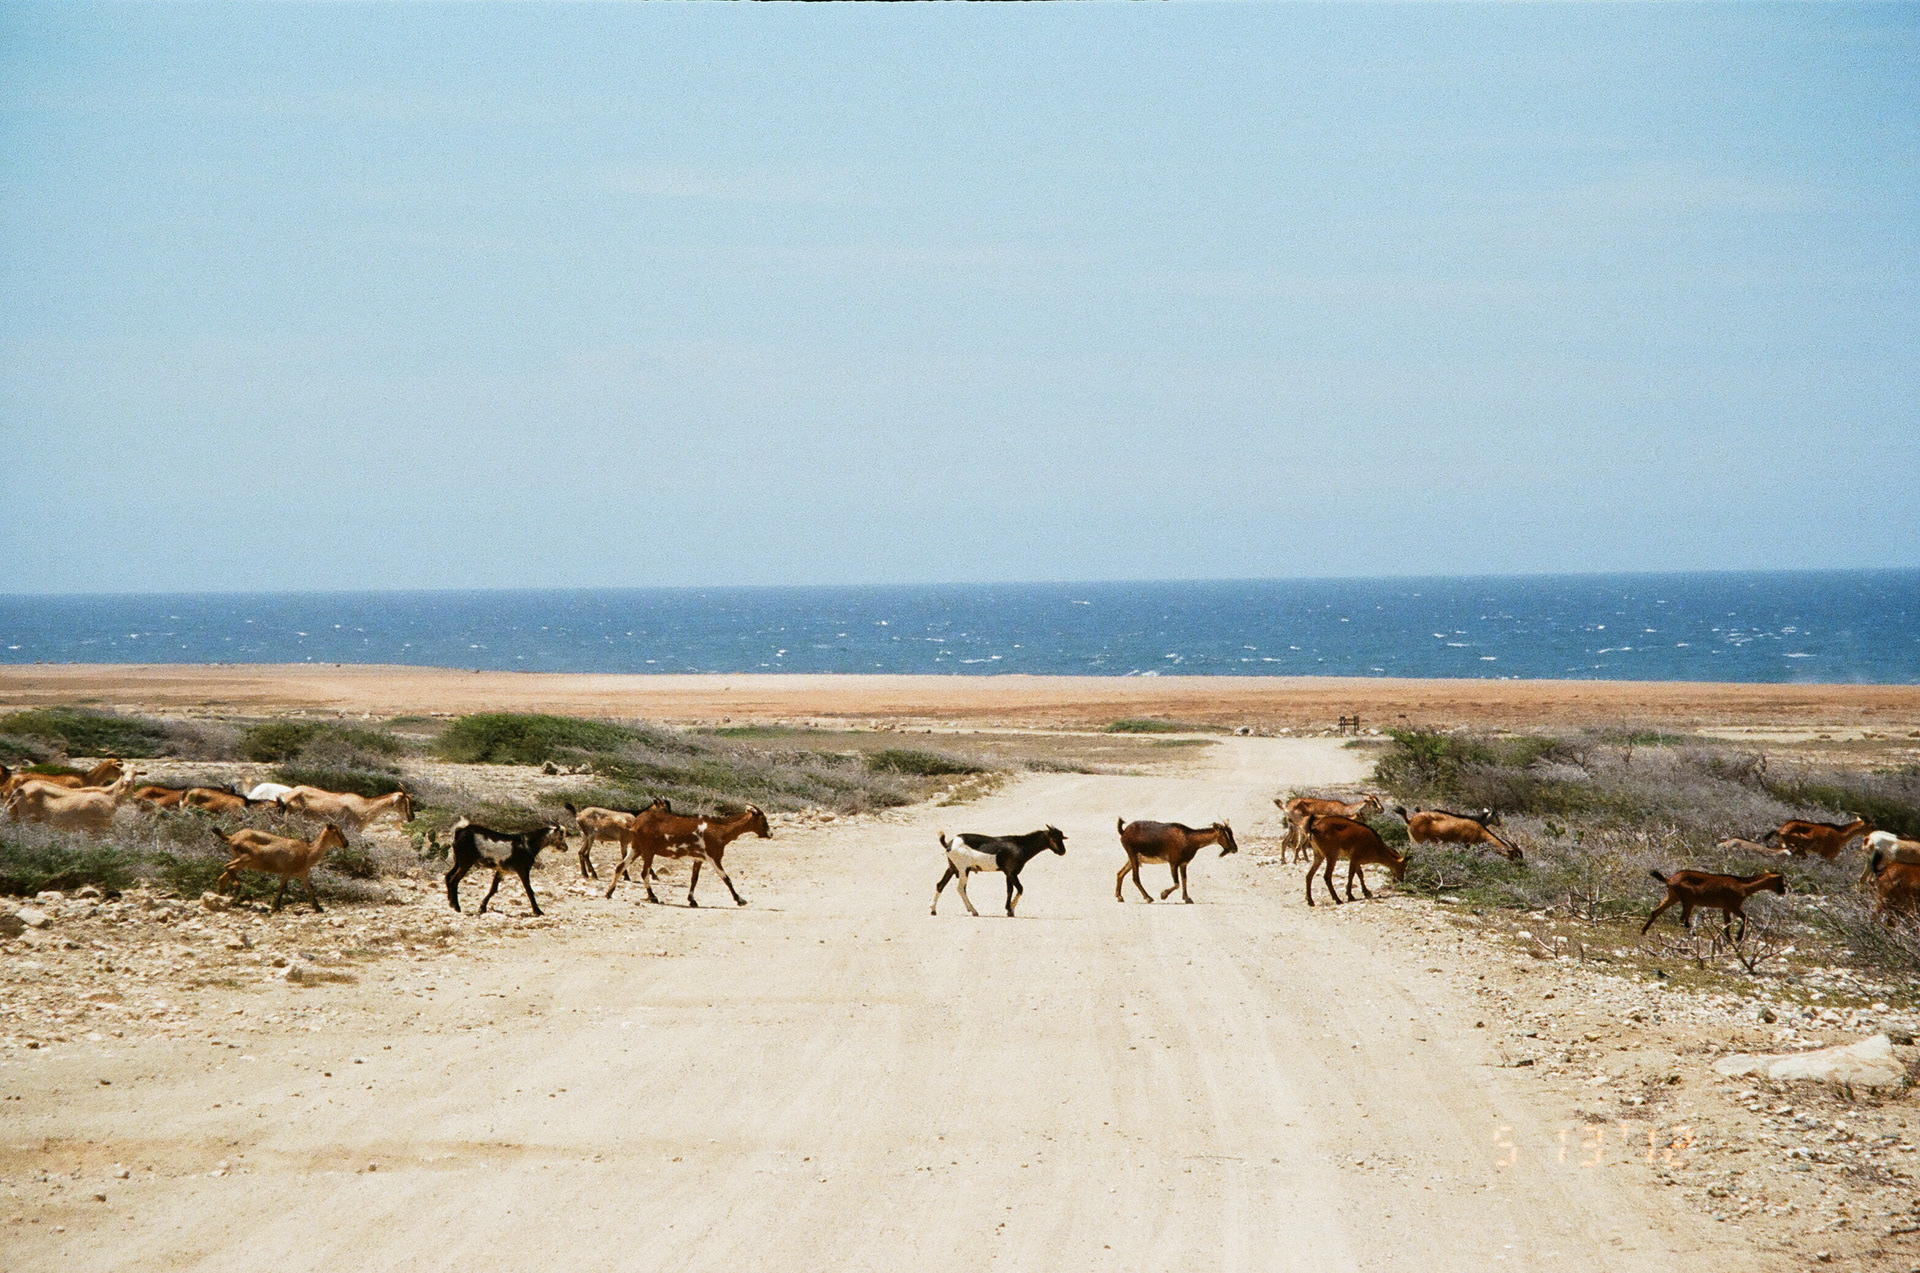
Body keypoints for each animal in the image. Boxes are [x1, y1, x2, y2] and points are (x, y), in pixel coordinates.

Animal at [213, 822, 348, 913]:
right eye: (337, 832)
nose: (346, 844)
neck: (308, 852)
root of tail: (231, 837)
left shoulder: (302, 874)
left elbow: (310, 889)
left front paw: (318, 908)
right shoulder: (287, 871)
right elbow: (282, 887)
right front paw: (276, 907)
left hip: (241, 860)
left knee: (222, 877)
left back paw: (221, 899)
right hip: (248, 857)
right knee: (228, 866)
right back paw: (236, 888)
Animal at [605, 804, 768, 907]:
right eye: (763, 819)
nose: (770, 834)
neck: (720, 830)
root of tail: (636, 823)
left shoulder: (699, 858)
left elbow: (694, 879)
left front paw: (692, 900)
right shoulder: (713, 857)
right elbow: (726, 878)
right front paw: (740, 900)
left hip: (636, 848)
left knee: (620, 866)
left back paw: (609, 892)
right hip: (647, 851)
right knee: (644, 873)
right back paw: (653, 897)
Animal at [931, 825, 1067, 917]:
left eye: (1061, 838)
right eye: (1054, 838)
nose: (1062, 851)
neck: (1021, 845)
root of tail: (949, 844)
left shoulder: (1008, 873)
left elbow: (1010, 890)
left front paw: (1009, 910)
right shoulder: (1012, 872)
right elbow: (1020, 888)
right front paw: (1010, 909)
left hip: (952, 868)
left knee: (940, 885)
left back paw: (933, 910)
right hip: (963, 869)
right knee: (960, 888)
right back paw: (973, 910)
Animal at [1641, 869, 1786, 942]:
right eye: (1781, 881)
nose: (1783, 891)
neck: (1742, 885)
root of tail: (1670, 879)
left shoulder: (1725, 908)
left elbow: (1727, 924)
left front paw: (1729, 940)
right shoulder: (1733, 906)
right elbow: (1745, 918)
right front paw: (1738, 937)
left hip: (1672, 896)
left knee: (1656, 912)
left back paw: (1643, 931)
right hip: (1688, 900)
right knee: (1683, 920)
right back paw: (1692, 935)